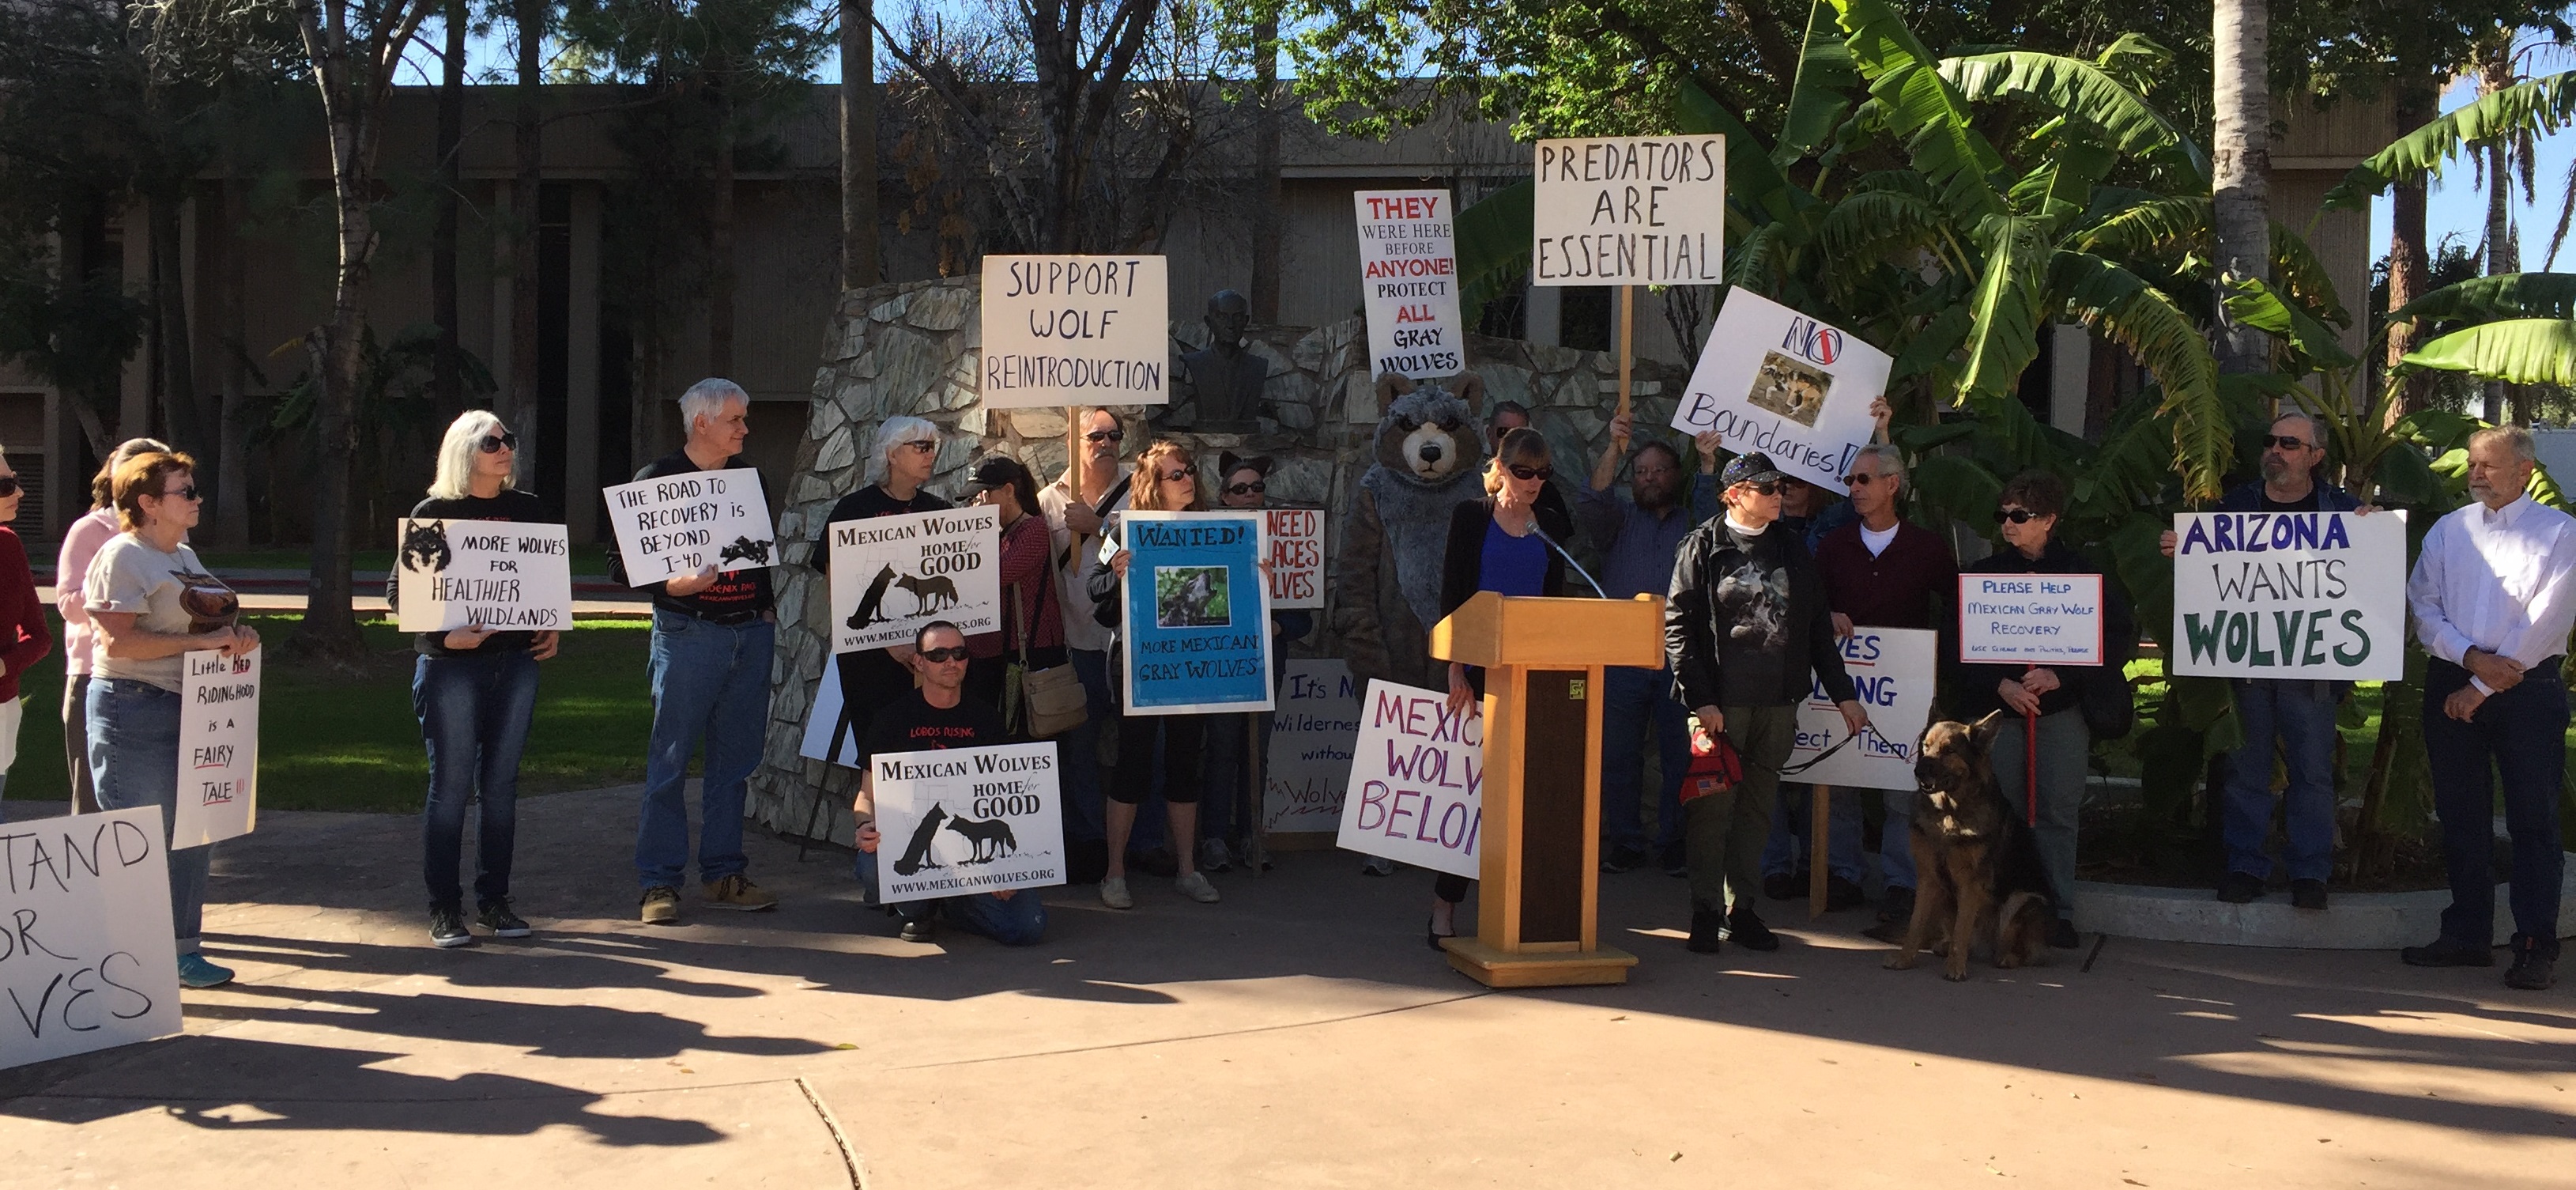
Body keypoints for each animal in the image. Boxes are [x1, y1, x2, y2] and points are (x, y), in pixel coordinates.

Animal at [1875, 711, 2050, 978]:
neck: (1949, 812)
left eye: (1949, 750)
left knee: (2021, 950)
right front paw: (1905, 959)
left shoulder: (1970, 883)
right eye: (1926, 747)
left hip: (2024, 900)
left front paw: (1956, 968)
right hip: (1945, 897)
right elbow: (1916, 925)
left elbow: (1962, 929)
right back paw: (1944, 946)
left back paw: (2007, 957)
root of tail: (1984, 948)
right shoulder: (1928, 878)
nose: (1918, 771)